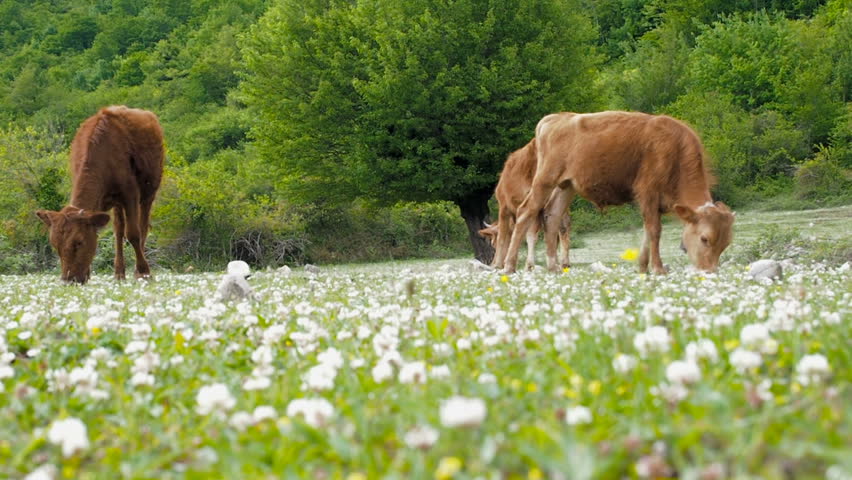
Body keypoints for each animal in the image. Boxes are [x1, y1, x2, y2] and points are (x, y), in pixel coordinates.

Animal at [36, 107, 165, 284]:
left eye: (79, 242)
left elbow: (133, 234)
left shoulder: (130, 194)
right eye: (55, 245)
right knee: (118, 230)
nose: (68, 280)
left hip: (149, 192)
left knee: (142, 227)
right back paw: (119, 273)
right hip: (118, 205)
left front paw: (144, 272)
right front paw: (88, 273)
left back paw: (138, 272)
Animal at [480, 139, 572, 272]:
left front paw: (498, 264)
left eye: (493, 243)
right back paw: (564, 263)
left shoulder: (504, 207)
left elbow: (505, 235)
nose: (491, 263)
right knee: (562, 225)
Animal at [502, 109, 736, 274]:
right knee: (526, 212)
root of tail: (555, 119)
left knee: (552, 216)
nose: (709, 271)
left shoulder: (654, 204)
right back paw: (509, 266)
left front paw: (642, 267)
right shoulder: (648, 193)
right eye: (705, 239)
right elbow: (654, 231)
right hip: (545, 180)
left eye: (725, 244)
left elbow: (647, 231)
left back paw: (554, 267)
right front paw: (658, 268)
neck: (675, 150)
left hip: (566, 186)